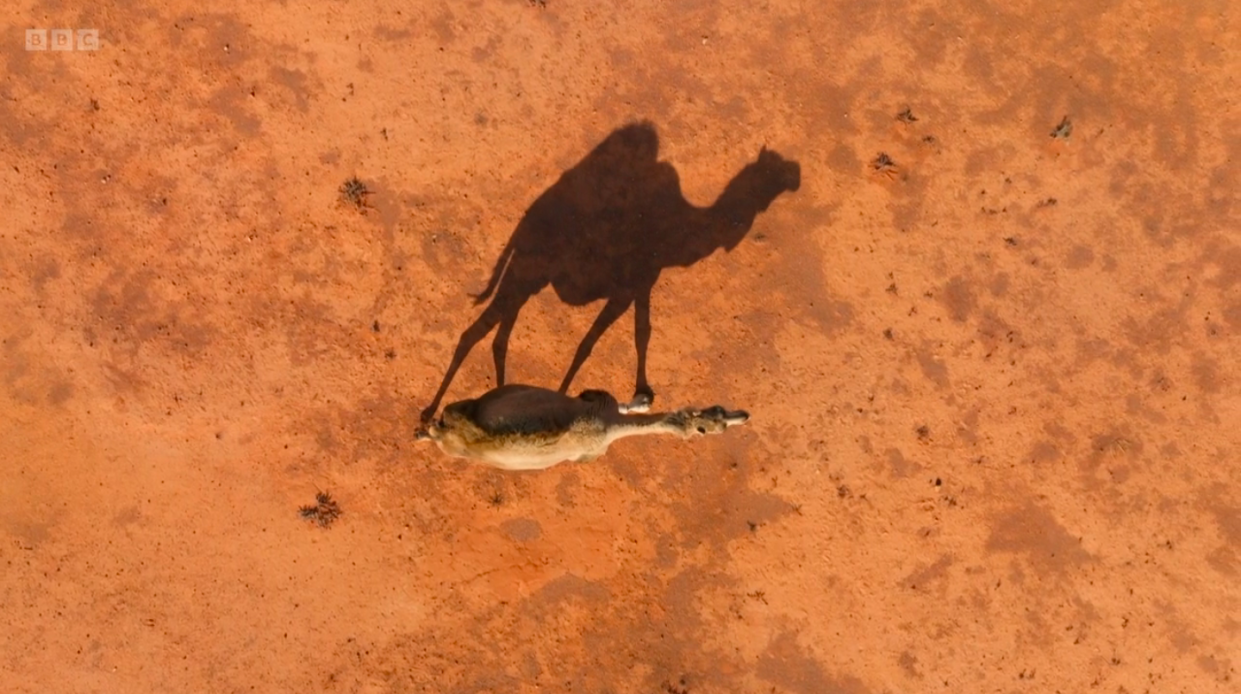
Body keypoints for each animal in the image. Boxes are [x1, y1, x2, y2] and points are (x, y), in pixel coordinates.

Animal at [416, 382, 744, 469]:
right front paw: (643, 399)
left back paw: (421, 431)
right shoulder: (594, 399)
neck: (607, 429)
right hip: (463, 405)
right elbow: (625, 404)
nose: (745, 415)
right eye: (718, 415)